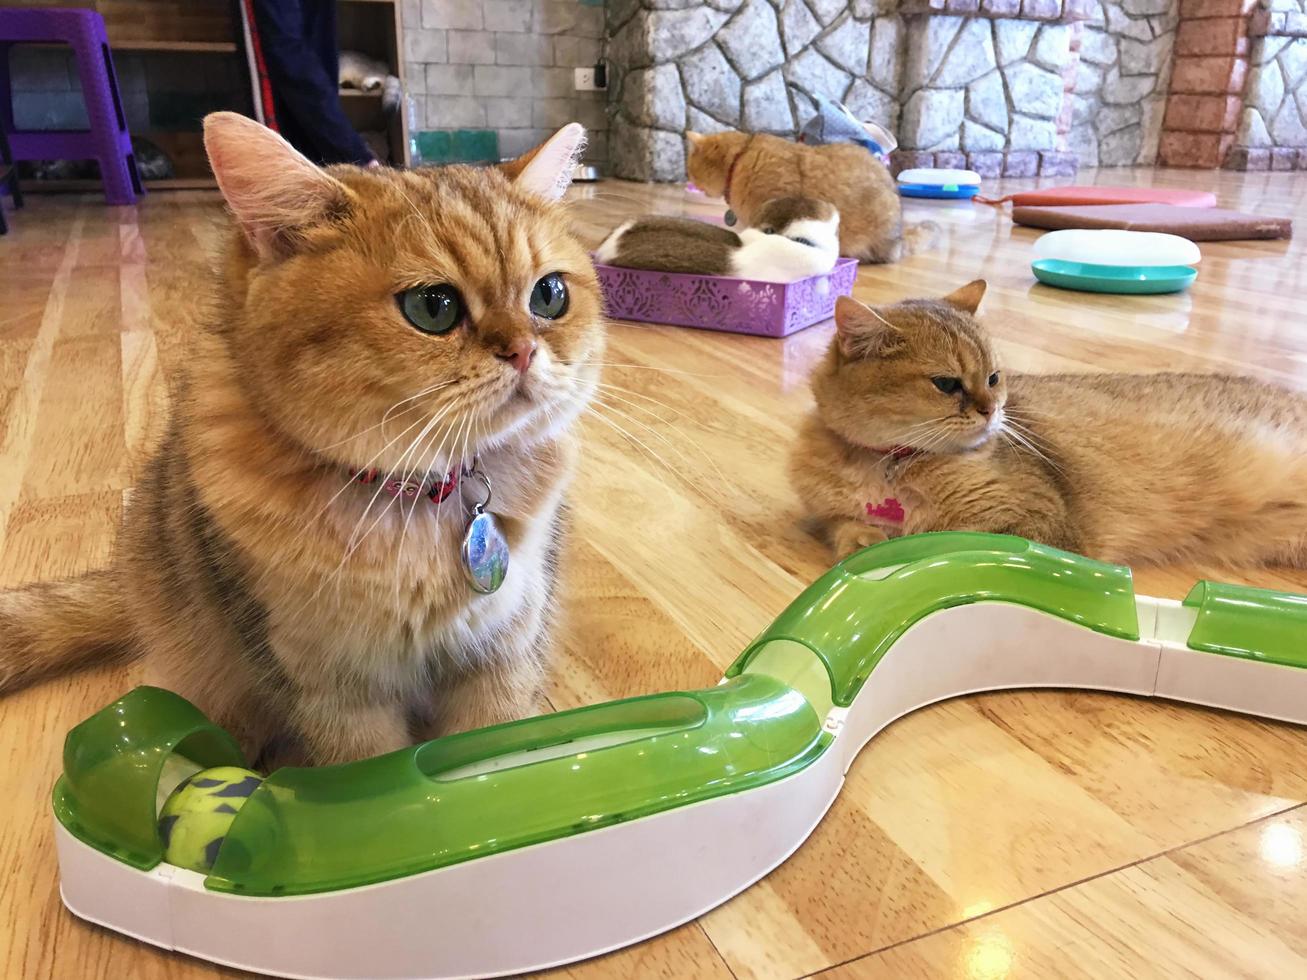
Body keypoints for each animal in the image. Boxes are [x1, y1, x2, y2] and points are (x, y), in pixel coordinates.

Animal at [0, 109, 601, 768]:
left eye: (549, 295)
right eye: (433, 307)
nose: (523, 351)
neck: (418, 500)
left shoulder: (503, 653)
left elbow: (495, 750)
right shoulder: (329, 689)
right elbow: (373, 769)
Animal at [784, 279, 1307, 567]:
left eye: (994, 377)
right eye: (946, 384)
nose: (991, 410)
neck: (886, 465)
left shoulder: (1040, 522)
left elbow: (945, 541)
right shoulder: (832, 515)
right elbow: (845, 528)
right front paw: (864, 540)